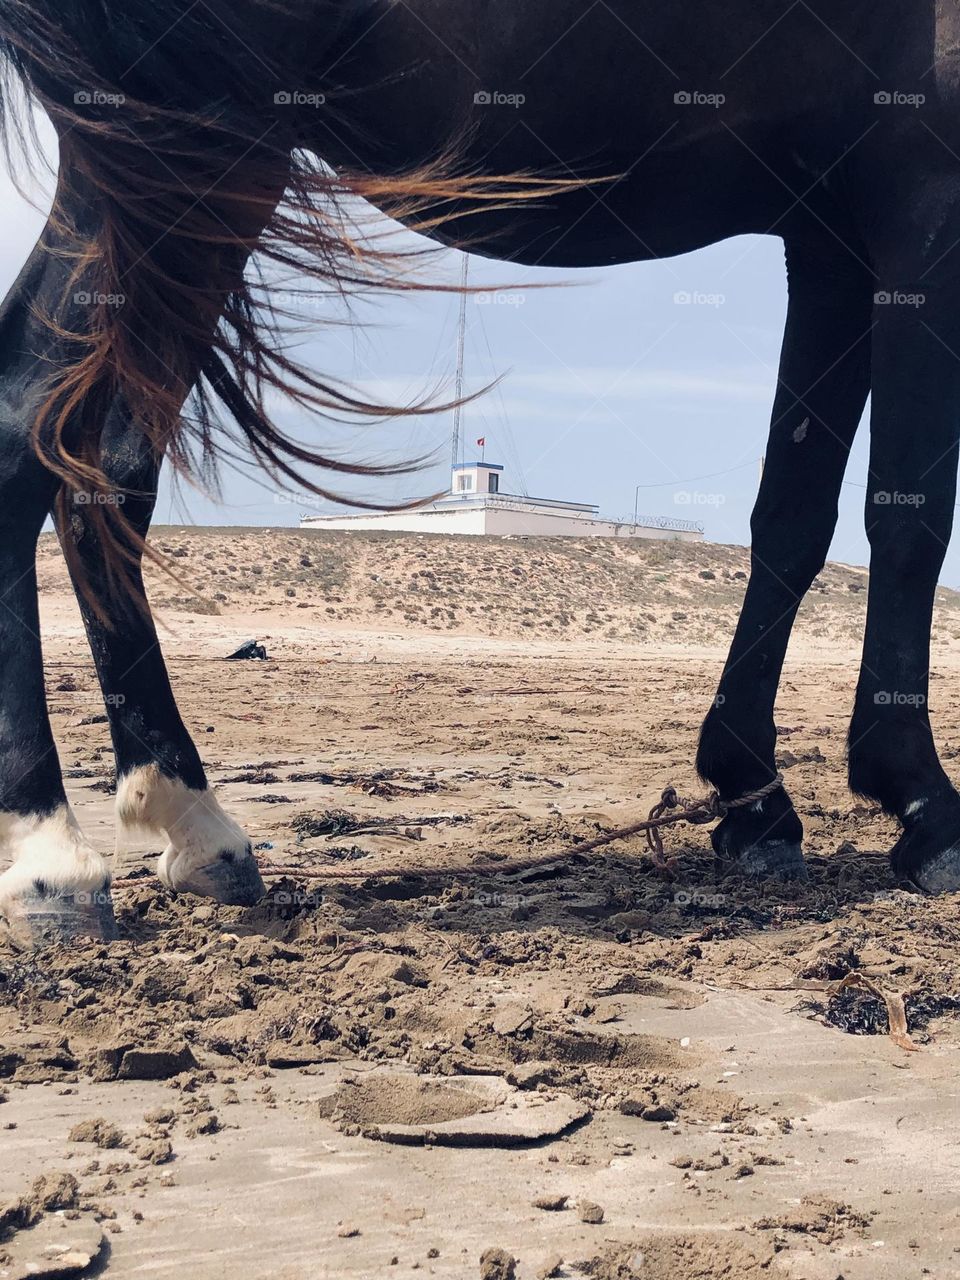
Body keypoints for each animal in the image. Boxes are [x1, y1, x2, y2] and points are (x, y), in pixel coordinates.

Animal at [0, 0, 956, 946]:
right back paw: (52, 855)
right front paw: (922, 801)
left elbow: (794, 518)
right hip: (190, 147)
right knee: (25, 431)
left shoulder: (831, 231)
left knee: (104, 479)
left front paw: (756, 802)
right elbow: (911, 513)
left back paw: (191, 823)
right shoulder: (921, 182)